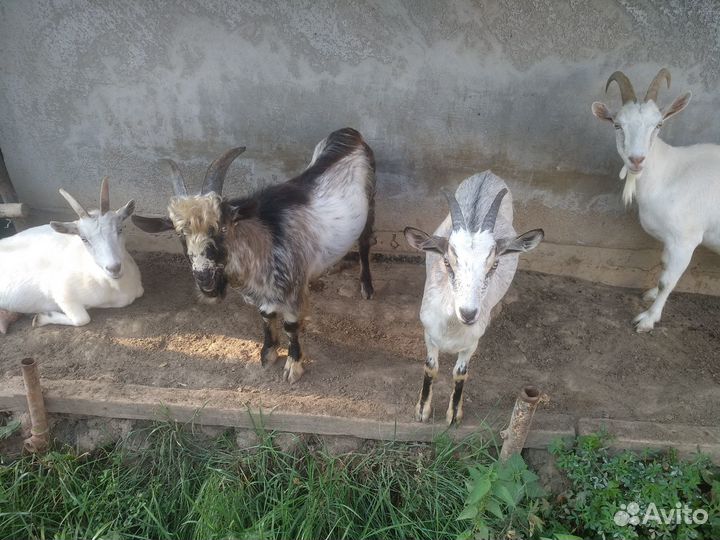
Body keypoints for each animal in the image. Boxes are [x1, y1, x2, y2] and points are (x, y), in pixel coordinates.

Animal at [0, 177, 143, 330]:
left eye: (120, 229)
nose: (114, 268)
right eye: (84, 239)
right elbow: (82, 319)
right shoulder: (62, 293)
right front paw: (41, 318)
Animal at [132, 127, 376, 383]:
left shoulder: (292, 290)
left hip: (371, 201)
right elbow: (266, 315)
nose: (204, 278)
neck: (265, 241)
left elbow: (291, 326)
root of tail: (349, 133)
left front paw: (293, 365)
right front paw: (268, 353)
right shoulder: (265, 293)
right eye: (180, 234)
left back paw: (367, 286)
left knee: (365, 242)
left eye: (223, 227)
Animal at [404, 171, 543, 424]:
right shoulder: (428, 333)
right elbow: (430, 368)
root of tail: (487, 174)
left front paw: (453, 416)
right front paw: (422, 411)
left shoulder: (472, 343)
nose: (468, 313)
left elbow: (460, 374)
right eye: (447, 261)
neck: (451, 327)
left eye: (494, 264)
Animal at [592, 68, 720, 332]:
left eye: (659, 124)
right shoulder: (668, 240)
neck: (669, 174)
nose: (636, 159)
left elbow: (667, 281)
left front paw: (648, 319)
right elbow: (662, 267)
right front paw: (650, 294)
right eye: (617, 125)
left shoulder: (685, 240)